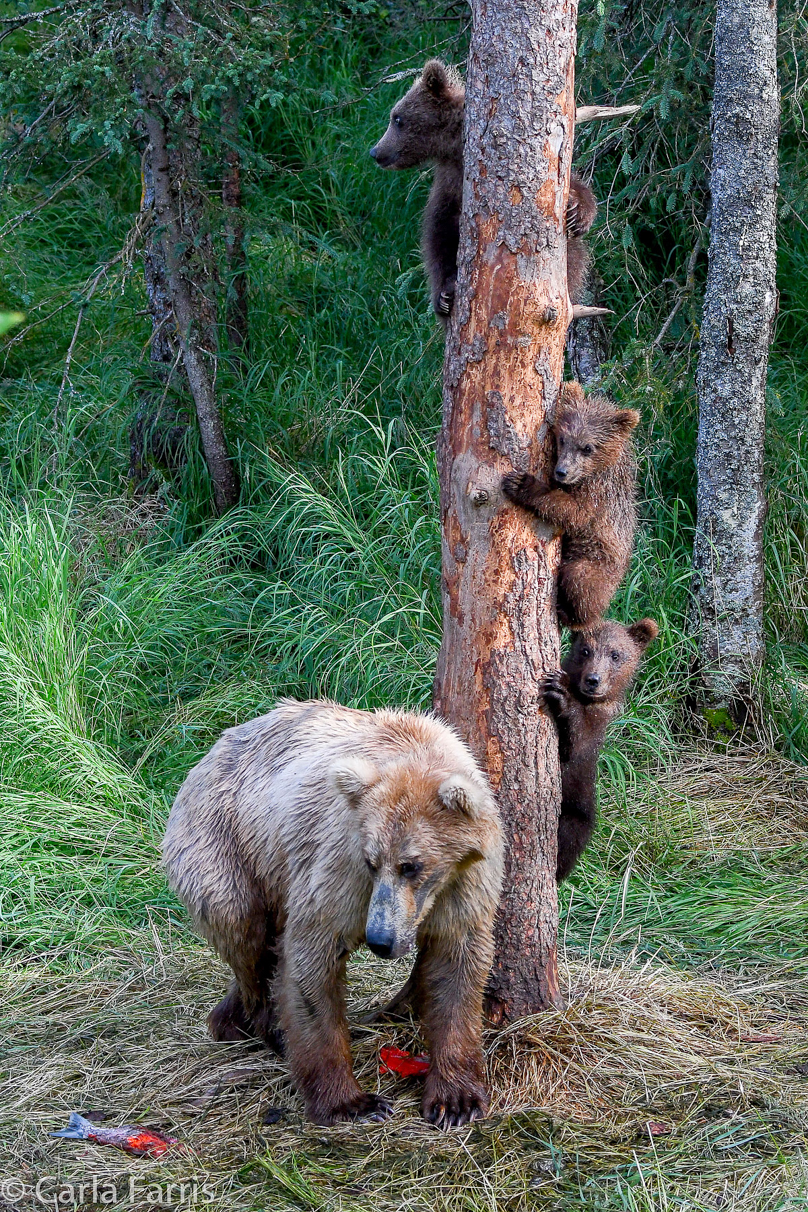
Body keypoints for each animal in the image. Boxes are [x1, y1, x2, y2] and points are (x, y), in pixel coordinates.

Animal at [162, 698, 506, 1129]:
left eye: (411, 865)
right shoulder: (341, 863)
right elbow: (313, 957)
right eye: (373, 862)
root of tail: (206, 756)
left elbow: (455, 966)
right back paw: (263, 1026)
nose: (380, 939)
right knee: (245, 934)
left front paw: (455, 1101)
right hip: (227, 848)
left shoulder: (464, 883)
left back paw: (232, 1017)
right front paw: (352, 1102)